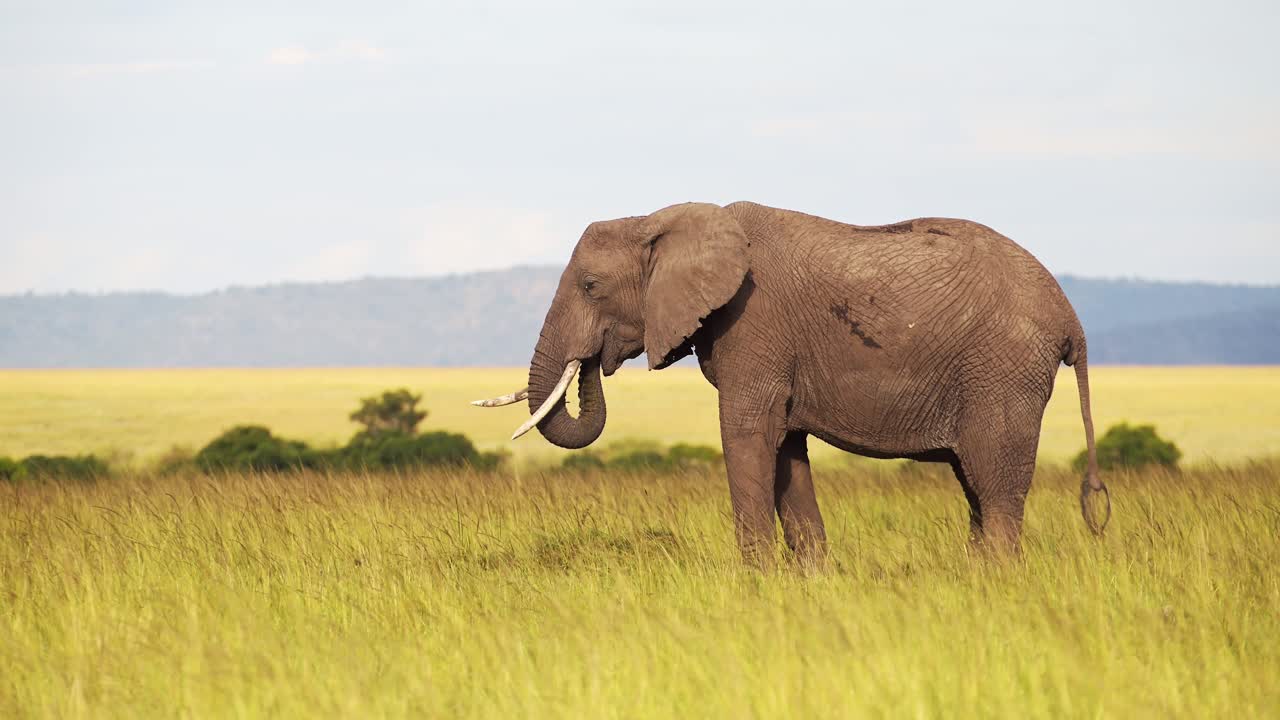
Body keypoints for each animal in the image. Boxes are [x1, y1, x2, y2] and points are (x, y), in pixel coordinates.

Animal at [475, 201, 1110, 566]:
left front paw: (753, 582)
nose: (594, 361)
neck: (664, 219)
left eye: (590, 285)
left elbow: (747, 435)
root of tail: (1072, 319)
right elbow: (784, 447)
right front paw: (811, 582)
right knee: (976, 487)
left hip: (1003, 371)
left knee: (995, 488)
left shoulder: (753, 324)